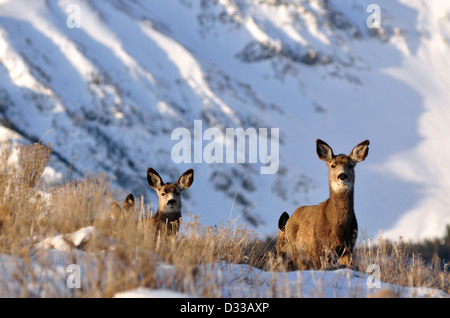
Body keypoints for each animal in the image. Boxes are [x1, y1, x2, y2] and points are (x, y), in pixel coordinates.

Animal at [278, 139, 370, 268]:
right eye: (333, 165)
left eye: (350, 165)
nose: (342, 175)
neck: (338, 228)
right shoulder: (319, 247)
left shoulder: (349, 248)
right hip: (296, 251)